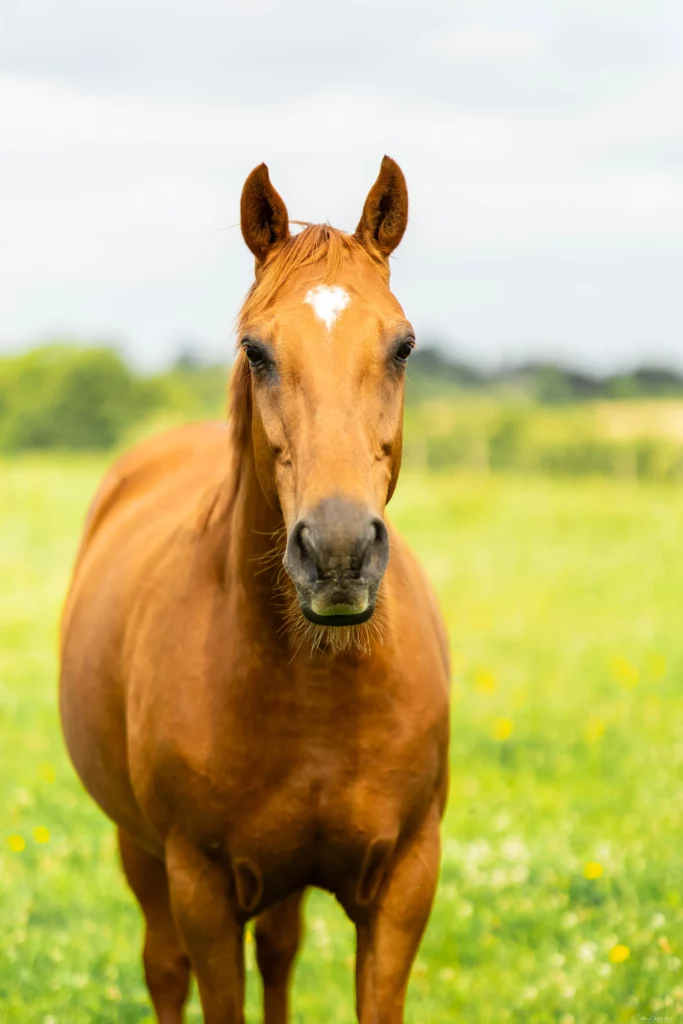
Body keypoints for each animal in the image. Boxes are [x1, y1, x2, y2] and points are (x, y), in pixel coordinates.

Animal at [61, 157, 450, 1024]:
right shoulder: (202, 890)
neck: (310, 687)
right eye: (257, 349)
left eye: (403, 346)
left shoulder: (403, 886)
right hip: (142, 856)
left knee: (279, 951)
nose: (338, 551)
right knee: (163, 969)